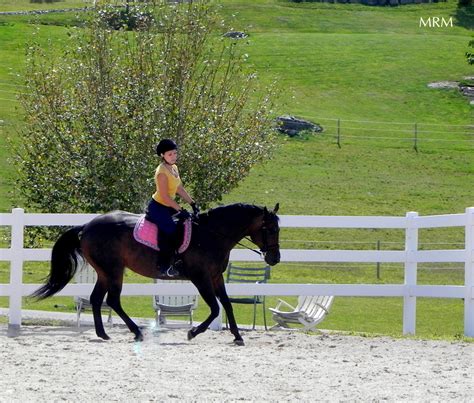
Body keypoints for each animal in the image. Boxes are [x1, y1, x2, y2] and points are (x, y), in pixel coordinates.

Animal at [31, 204, 280, 346]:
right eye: (269, 229)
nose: (275, 258)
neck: (211, 234)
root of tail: (87, 225)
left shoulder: (216, 277)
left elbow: (226, 304)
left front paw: (237, 336)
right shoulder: (200, 278)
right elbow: (215, 308)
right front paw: (193, 332)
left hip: (105, 272)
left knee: (97, 299)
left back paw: (104, 334)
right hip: (114, 270)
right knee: (112, 300)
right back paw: (136, 332)